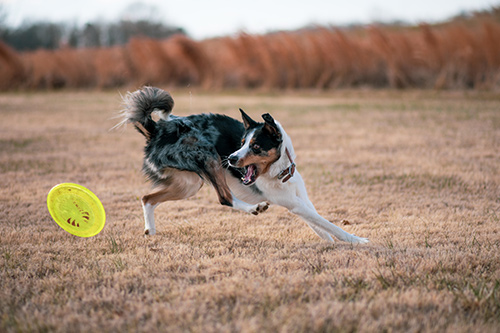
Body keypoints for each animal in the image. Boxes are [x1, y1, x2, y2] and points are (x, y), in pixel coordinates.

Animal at [117, 87, 368, 243]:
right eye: (241, 143)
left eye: (255, 146)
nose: (231, 158)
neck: (279, 172)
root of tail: (156, 129)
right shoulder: (293, 204)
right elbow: (328, 223)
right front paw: (356, 240)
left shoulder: (299, 200)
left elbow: (319, 223)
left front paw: (331, 242)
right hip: (207, 158)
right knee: (224, 198)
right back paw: (254, 208)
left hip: (188, 185)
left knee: (147, 198)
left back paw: (150, 229)